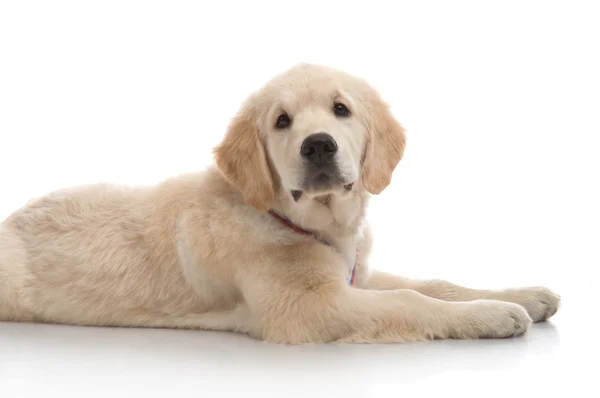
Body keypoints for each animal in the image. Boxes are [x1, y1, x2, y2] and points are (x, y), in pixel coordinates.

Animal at [0, 63, 556, 344]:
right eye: (282, 121)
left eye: (341, 110)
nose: (319, 146)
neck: (296, 220)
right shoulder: (312, 308)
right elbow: (410, 301)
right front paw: (495, 315)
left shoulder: (354, 274)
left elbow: (434, 284)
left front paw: (523, 295)